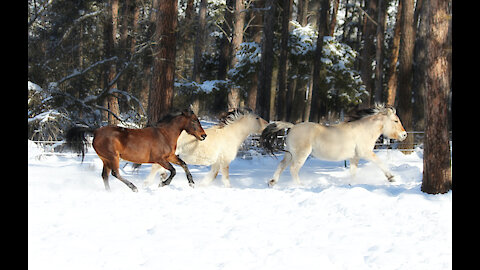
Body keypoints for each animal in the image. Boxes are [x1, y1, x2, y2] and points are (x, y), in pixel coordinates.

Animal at [64, 109, 206, 192]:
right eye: (194, 121)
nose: (203, 135)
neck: (164, 134)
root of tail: (96, 131)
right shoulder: (160, 159)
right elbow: (174, 170)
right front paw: (163, 184)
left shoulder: (170, 156)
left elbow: (183, 164)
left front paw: (192, 183)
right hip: (113, 157)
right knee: (115, 174)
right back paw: (134, 188)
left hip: (105, 160)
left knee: (105, 176)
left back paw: (110, 192)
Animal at [142, 107, 270, 188]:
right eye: (257, 118)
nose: (268, 124)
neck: (231, 135)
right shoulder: (225, 161)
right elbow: (226, 179)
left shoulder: (217, 163)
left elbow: (212, 176)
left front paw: (200, 185)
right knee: (155, 167)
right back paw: (149, 183)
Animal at [260, 104, 406, 188]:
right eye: (395, 121)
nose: (404, 135)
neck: (364, 130)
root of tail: (293, 127)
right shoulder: (366, 153)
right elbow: (380, 162)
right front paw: (391, 178)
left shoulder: (354, 157)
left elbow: (353, 172)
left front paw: (351, 184)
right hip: (301, 155)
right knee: (293, 169)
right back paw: (301, 185)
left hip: (290, 154)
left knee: (281, 165)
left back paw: (272, 182)